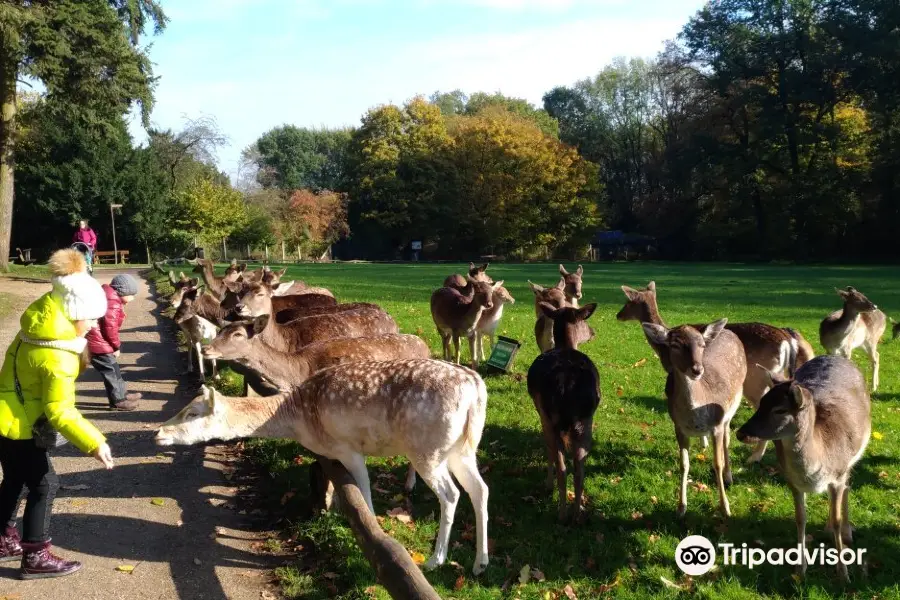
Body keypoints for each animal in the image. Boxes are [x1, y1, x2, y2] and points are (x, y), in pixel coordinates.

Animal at [156, 360, 492, 576]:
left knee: (451, 494)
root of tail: (476, 388)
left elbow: (363, 495)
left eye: (192, 412)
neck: (303, 421)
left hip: (428, 450)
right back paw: (480, 563)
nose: (158, 432)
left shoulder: (348, 448)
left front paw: (373, 536)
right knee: (480, 489)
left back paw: (436, 560)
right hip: (462, 449)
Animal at [524, 302, 600, 524]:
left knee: (561, 465)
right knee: (579, 467)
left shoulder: (540, 412)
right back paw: (577, 512)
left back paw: (561, 513)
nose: (592, 332)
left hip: (550, 416)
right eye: (584, 322)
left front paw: (547, 485)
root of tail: (567, 383)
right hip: (586, 419)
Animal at [620, 282, 816, 464]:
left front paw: (703, 442)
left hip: (756, 379)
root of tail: (788, 341)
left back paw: (755, 456)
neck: (662, 348)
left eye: (628, 302)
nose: (618, 315)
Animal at [644, 318, 748, 520]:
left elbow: (717, 463)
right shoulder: (678, 427)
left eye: (701, 344)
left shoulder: (716, 424)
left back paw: (729, 476)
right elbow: (684, 464)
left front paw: (725, 508)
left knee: (727, 437)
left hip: (734, 402)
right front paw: (681, 507)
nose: (697, 369)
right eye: (675, 344)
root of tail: (728, 331)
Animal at [736, 356, 868, 580]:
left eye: (780, 410)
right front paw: (800, 569)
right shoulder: (792, 481)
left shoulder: (838, 474)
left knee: (848, 487)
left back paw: (847, 532)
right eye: (761, 402)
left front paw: (843, 573)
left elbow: (837, 517)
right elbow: (800, 518)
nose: (740, 433)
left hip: (852, 459)